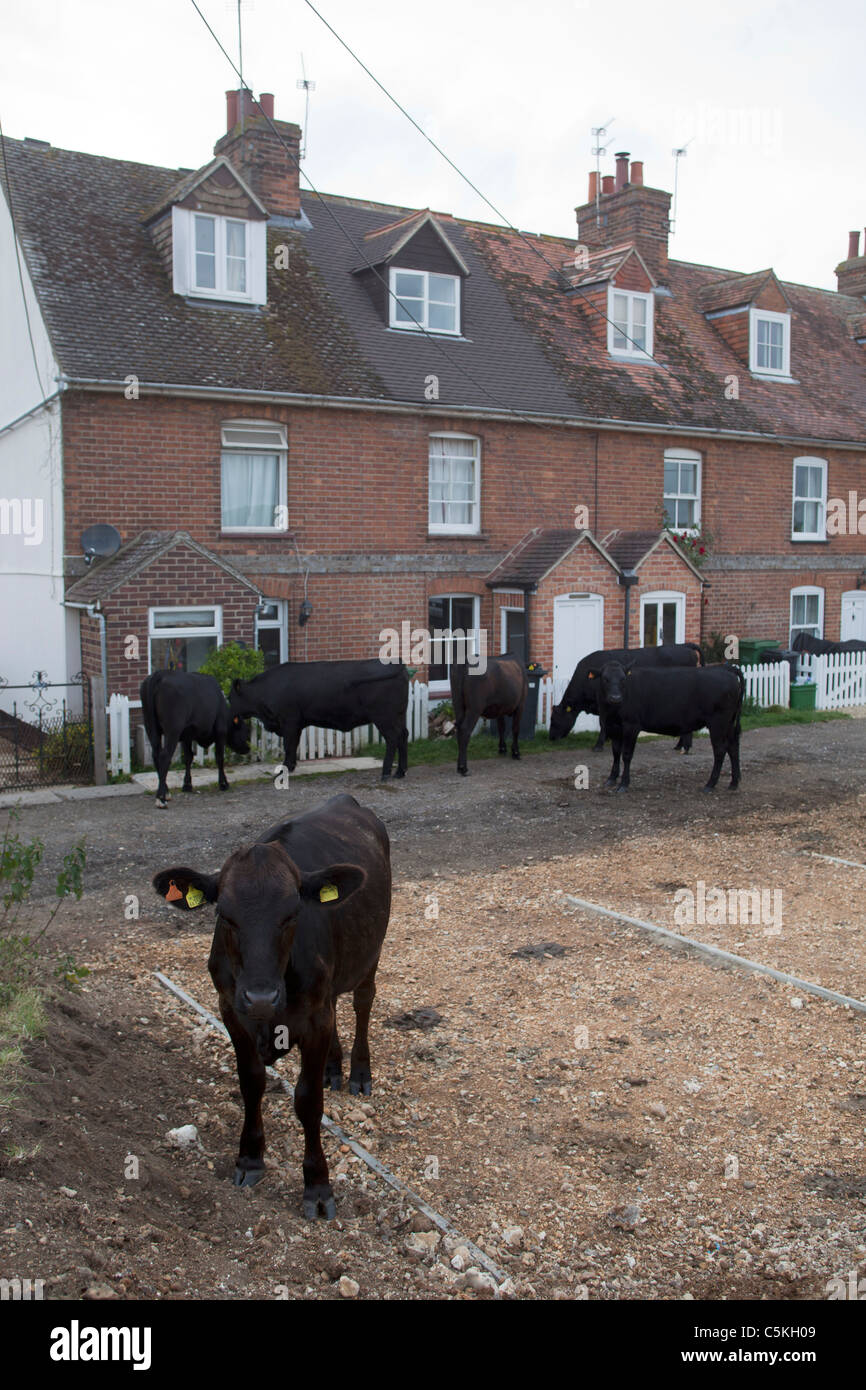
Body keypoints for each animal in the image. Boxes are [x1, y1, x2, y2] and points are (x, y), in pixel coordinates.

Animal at [136, 667, 248, 811]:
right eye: (244, 730)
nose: (248, 748)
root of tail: (160, 673)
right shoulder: (221, 732)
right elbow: (219, 758)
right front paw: (223, 783)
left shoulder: (186, 736)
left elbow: (188, 758)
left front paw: (187, 785)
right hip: (173, 730)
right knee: (164, 757)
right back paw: (161, 798)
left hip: (151, 727)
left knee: (156, 755)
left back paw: (166, 792)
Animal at [152, 795, 389, 1217]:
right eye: (223, 914)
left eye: (293, 913)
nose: (261, 997)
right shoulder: (230, 1008)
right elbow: (251, 1082)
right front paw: (249, 1158)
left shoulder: (314, 1018)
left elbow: (308, 1101)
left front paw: (317, 1186)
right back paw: (334, 1066)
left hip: (371, 951)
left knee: (363, 1003)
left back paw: (359, 1072)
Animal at [229, 656, 408, 778]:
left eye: (230, 698)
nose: (230, 715)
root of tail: (398, 664)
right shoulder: (296, 724)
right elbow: (293, 746)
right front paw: (291, 766)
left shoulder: (289, 721)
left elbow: (289, 745)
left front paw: (284, 769)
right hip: (399, 715)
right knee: (403, 735)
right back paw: (400, 772)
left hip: (384, 717)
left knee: (393, 738)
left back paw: (386, 773)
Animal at [547, 642, 706, 750]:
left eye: (553, 719)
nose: (551, 737)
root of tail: (683, 645)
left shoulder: (603, 703)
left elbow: (602, 723)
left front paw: (599, 745)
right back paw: (681, 746)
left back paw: (683, 746)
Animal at [592, 661, 750, 795]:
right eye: (605, 679)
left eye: (623, 679)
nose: (615, 698)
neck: (612, 710)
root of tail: (725, 668)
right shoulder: (614, 727)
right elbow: (616, 753)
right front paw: (611, 779)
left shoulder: (631, 726)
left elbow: (626, 755)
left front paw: (624, 784)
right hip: (729, 723)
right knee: (733, 747)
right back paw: (733, 783)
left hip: (718, 723)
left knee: (720, 750)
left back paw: (710, 784)